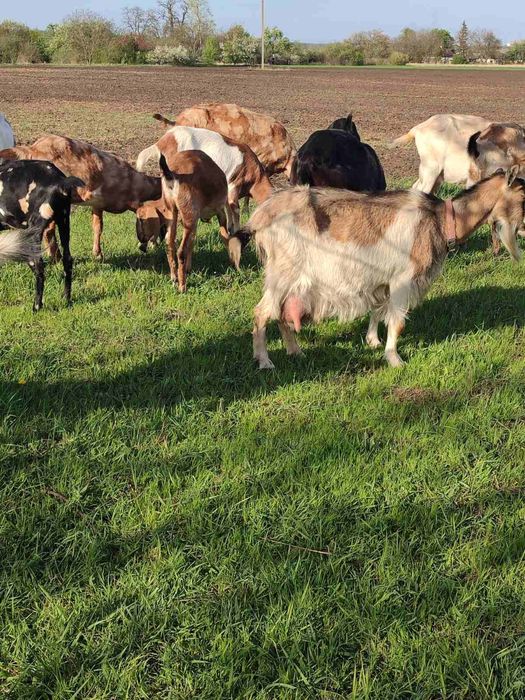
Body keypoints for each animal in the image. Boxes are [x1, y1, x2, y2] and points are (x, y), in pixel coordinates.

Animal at [0, 135, 161, 260]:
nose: (148, 247)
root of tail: (32, 149)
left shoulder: (97, 204)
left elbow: (98, 226)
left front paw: (98, 255)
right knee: (47, 229)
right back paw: (56, 258)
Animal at [0, 160, 84, 310]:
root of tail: (59, 181)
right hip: (64, 222)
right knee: (67, 260)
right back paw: (66, 299)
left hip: (34, 233)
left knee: (39, 267)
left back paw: (37, 306)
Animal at [158, 150, 235, 292]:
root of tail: (173, 175)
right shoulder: (219, 213)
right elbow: (225, 236)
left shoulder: (194, 221)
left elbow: (192, 242)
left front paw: (188, 268)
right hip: (189, 217)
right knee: (180, 251)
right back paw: (182, 286)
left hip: (173, 213)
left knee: (170, 244)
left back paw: (174, 278)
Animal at [235, 168, 524, 370]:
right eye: (523, 195)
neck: (441, 221)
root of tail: (261, 216)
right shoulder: (403, 279)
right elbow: (397, 321)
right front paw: (395, 359)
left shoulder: (383, 279)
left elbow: (378, 309)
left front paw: (373, 341)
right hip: (281, 273)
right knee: (262, 312)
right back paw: (265, 361)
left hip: (295, 280)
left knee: (282, 313)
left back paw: (296, 352)